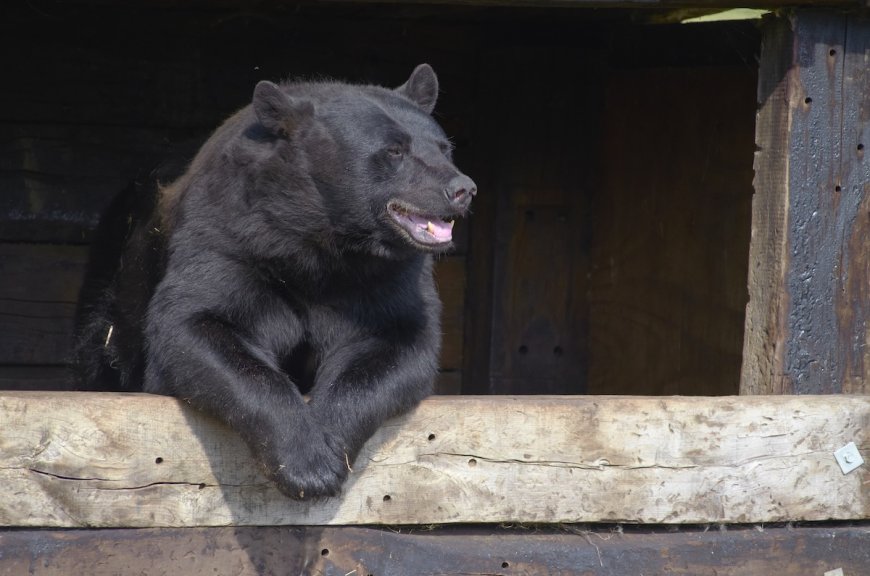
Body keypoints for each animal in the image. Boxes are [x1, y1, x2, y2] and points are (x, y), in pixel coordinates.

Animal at [72, 64, 476, 500]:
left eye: (444, 147)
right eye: (395, 150)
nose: (462, 188)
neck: (319, 245)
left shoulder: (388, 279)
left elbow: (398, 343)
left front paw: (328, 445)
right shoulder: (230, 240)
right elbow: (195, 327)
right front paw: (305, 464)